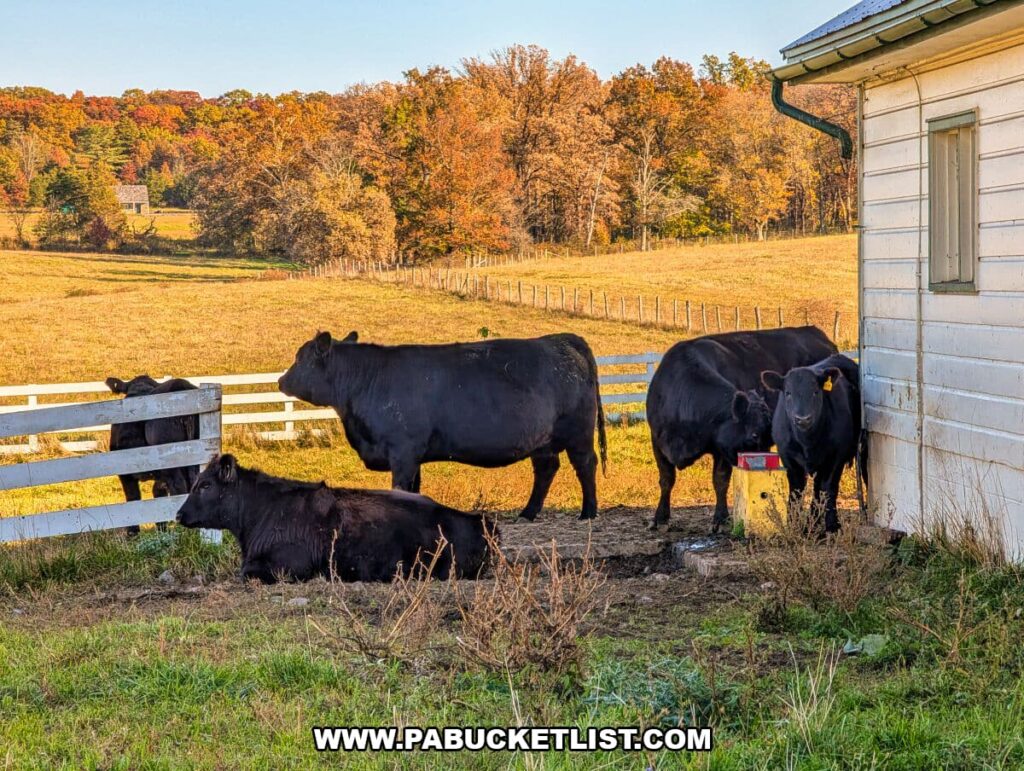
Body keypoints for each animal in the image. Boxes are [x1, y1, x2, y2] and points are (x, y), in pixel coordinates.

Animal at [105, 375, 200, 535]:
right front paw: (162, 529)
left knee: (179, 487)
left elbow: (133, 497)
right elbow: (158, 493)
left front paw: (133, 533)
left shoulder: (124, 471)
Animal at [277, 331, 607, 521]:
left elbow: (401, 488)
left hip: (578, 433)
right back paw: (528, 513)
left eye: (301, 358)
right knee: (546, 470)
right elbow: (415, 489)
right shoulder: (412, 456)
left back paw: (588, 512)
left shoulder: (402, 451)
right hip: (543, 441)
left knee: (585, 465)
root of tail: (562, 339)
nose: (281, 381)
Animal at [646, 327, 837, 532]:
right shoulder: (657, 441)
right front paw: (660, 518)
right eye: (754, 435)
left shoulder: (722, 447)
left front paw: (721, 519)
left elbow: (720, 480)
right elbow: (666, 479)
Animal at [760, 354, 862, 534]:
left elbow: (827, 489)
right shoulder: (788, 458)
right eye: (788, 393)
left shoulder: (835, 458)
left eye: (815, 392)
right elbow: (796, 491)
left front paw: (831, 526)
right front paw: (794, 524)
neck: (807, 441)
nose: (803, 419)